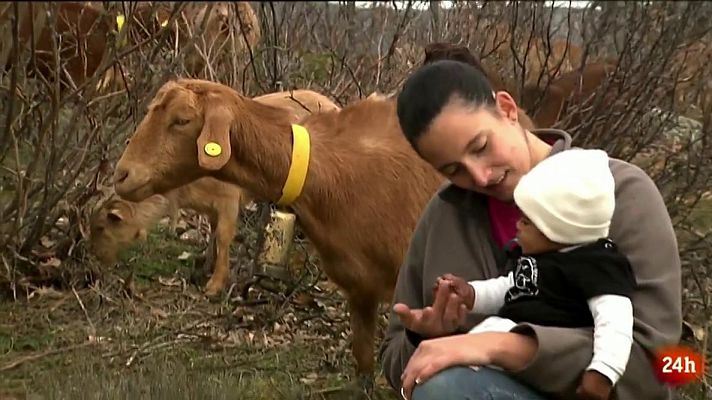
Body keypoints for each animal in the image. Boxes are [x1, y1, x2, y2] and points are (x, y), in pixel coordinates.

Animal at [90, 90, 340, 296]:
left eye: (102, 227)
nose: (97, 260)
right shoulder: (209, 205)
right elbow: (212, 232)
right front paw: (205, 267)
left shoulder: (229, 199)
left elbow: (223, 236)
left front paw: (216, 284)